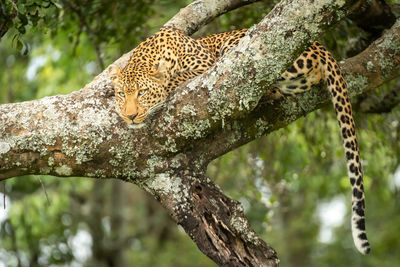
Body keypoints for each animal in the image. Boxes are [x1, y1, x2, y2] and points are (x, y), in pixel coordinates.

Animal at [108, 26, 372, 255]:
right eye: (121, 94)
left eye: (142, 93)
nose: (130, 116)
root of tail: (319, 45)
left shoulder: (207, 65)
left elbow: (177, 79)